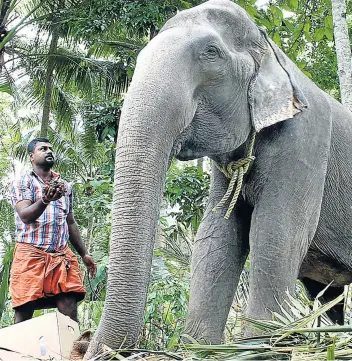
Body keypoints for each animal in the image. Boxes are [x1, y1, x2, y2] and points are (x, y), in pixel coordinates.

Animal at [86, 0, 352, 354]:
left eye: (211, 52)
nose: (89, 348)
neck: (272, 50)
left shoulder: (307, 138)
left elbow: (278, 228)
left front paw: (262, 345)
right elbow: (217, 235)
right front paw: (199, 348)